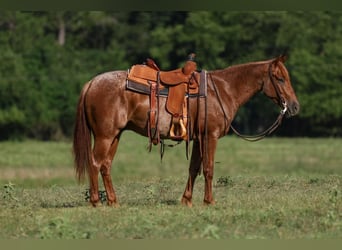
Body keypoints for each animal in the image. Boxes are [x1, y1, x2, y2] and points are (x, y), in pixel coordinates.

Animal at [72, 54, 300, 207]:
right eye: (280, 78)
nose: (294, 106)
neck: (223, 90)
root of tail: (91, 83)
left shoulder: (198, 138)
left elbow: (194, 168)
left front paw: (187, 200)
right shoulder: (210, 136)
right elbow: (208, 169)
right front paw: (209, 201)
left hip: (115, 136)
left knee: (106, 165)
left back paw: (113, 201)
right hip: (105, 136)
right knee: (95, 163)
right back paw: (96, 202)